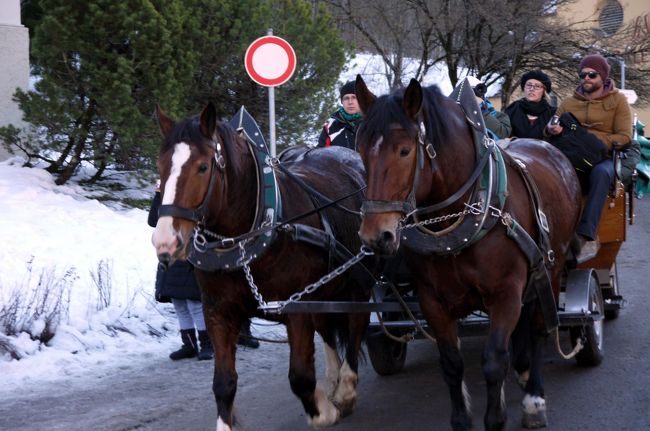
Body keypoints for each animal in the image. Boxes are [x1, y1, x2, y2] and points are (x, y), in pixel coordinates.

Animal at [150, 103, 372, 430]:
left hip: (359, 282)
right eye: (161, 167)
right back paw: (333, 381)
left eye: (203, 167)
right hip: (325, 291)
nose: (165, 241)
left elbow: (301, 376)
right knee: (329, 330)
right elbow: (224, 383)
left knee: (356, 328)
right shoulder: (218, 311)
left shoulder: (296, 306)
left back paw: (345, 389)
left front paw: (323, 410)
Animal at [354, 76, 584, 430]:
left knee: (538, 328)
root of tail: (548, 148)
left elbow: (493, 360)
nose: (375, 235)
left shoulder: (504, 293)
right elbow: (451, 363)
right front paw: (462, 420)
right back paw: (523, 370)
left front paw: (496, 417)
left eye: (405, 150)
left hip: (552, 266)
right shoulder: (432, 300)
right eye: (361, 150)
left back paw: (534, 397)